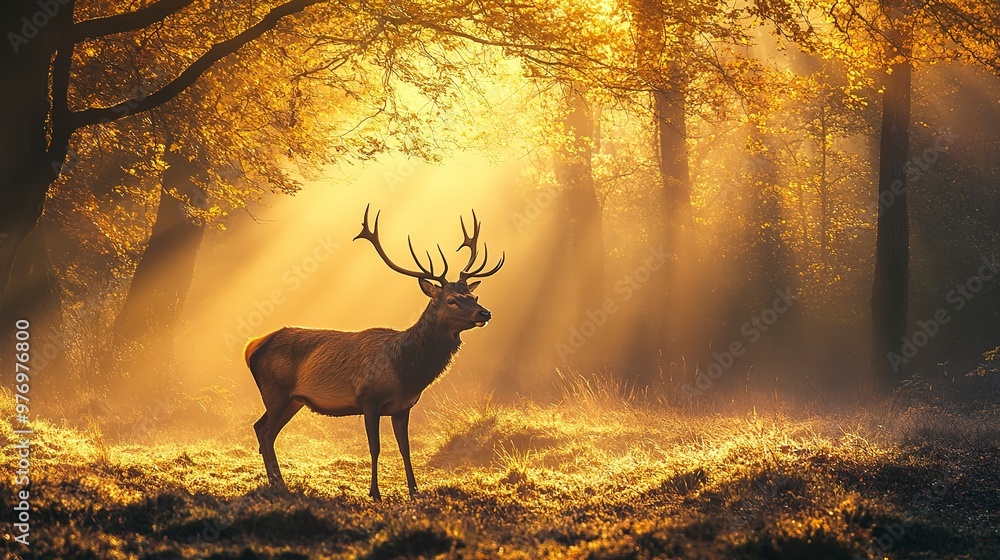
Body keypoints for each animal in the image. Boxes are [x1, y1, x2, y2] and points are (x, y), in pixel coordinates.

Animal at [246, 205, 504, 498]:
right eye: (451, 300)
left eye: (474, 297)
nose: (485, 313)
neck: (407, 372)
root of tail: (252, 346)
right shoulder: (369, 399)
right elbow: (375, 448)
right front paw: (375, 493)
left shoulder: (403, 407)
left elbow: (405, 449)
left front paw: (414, 490)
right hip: (275, 391)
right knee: (267, 433)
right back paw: (280, 484)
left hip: (293, 400)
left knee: (261, 428)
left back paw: (276, 482)